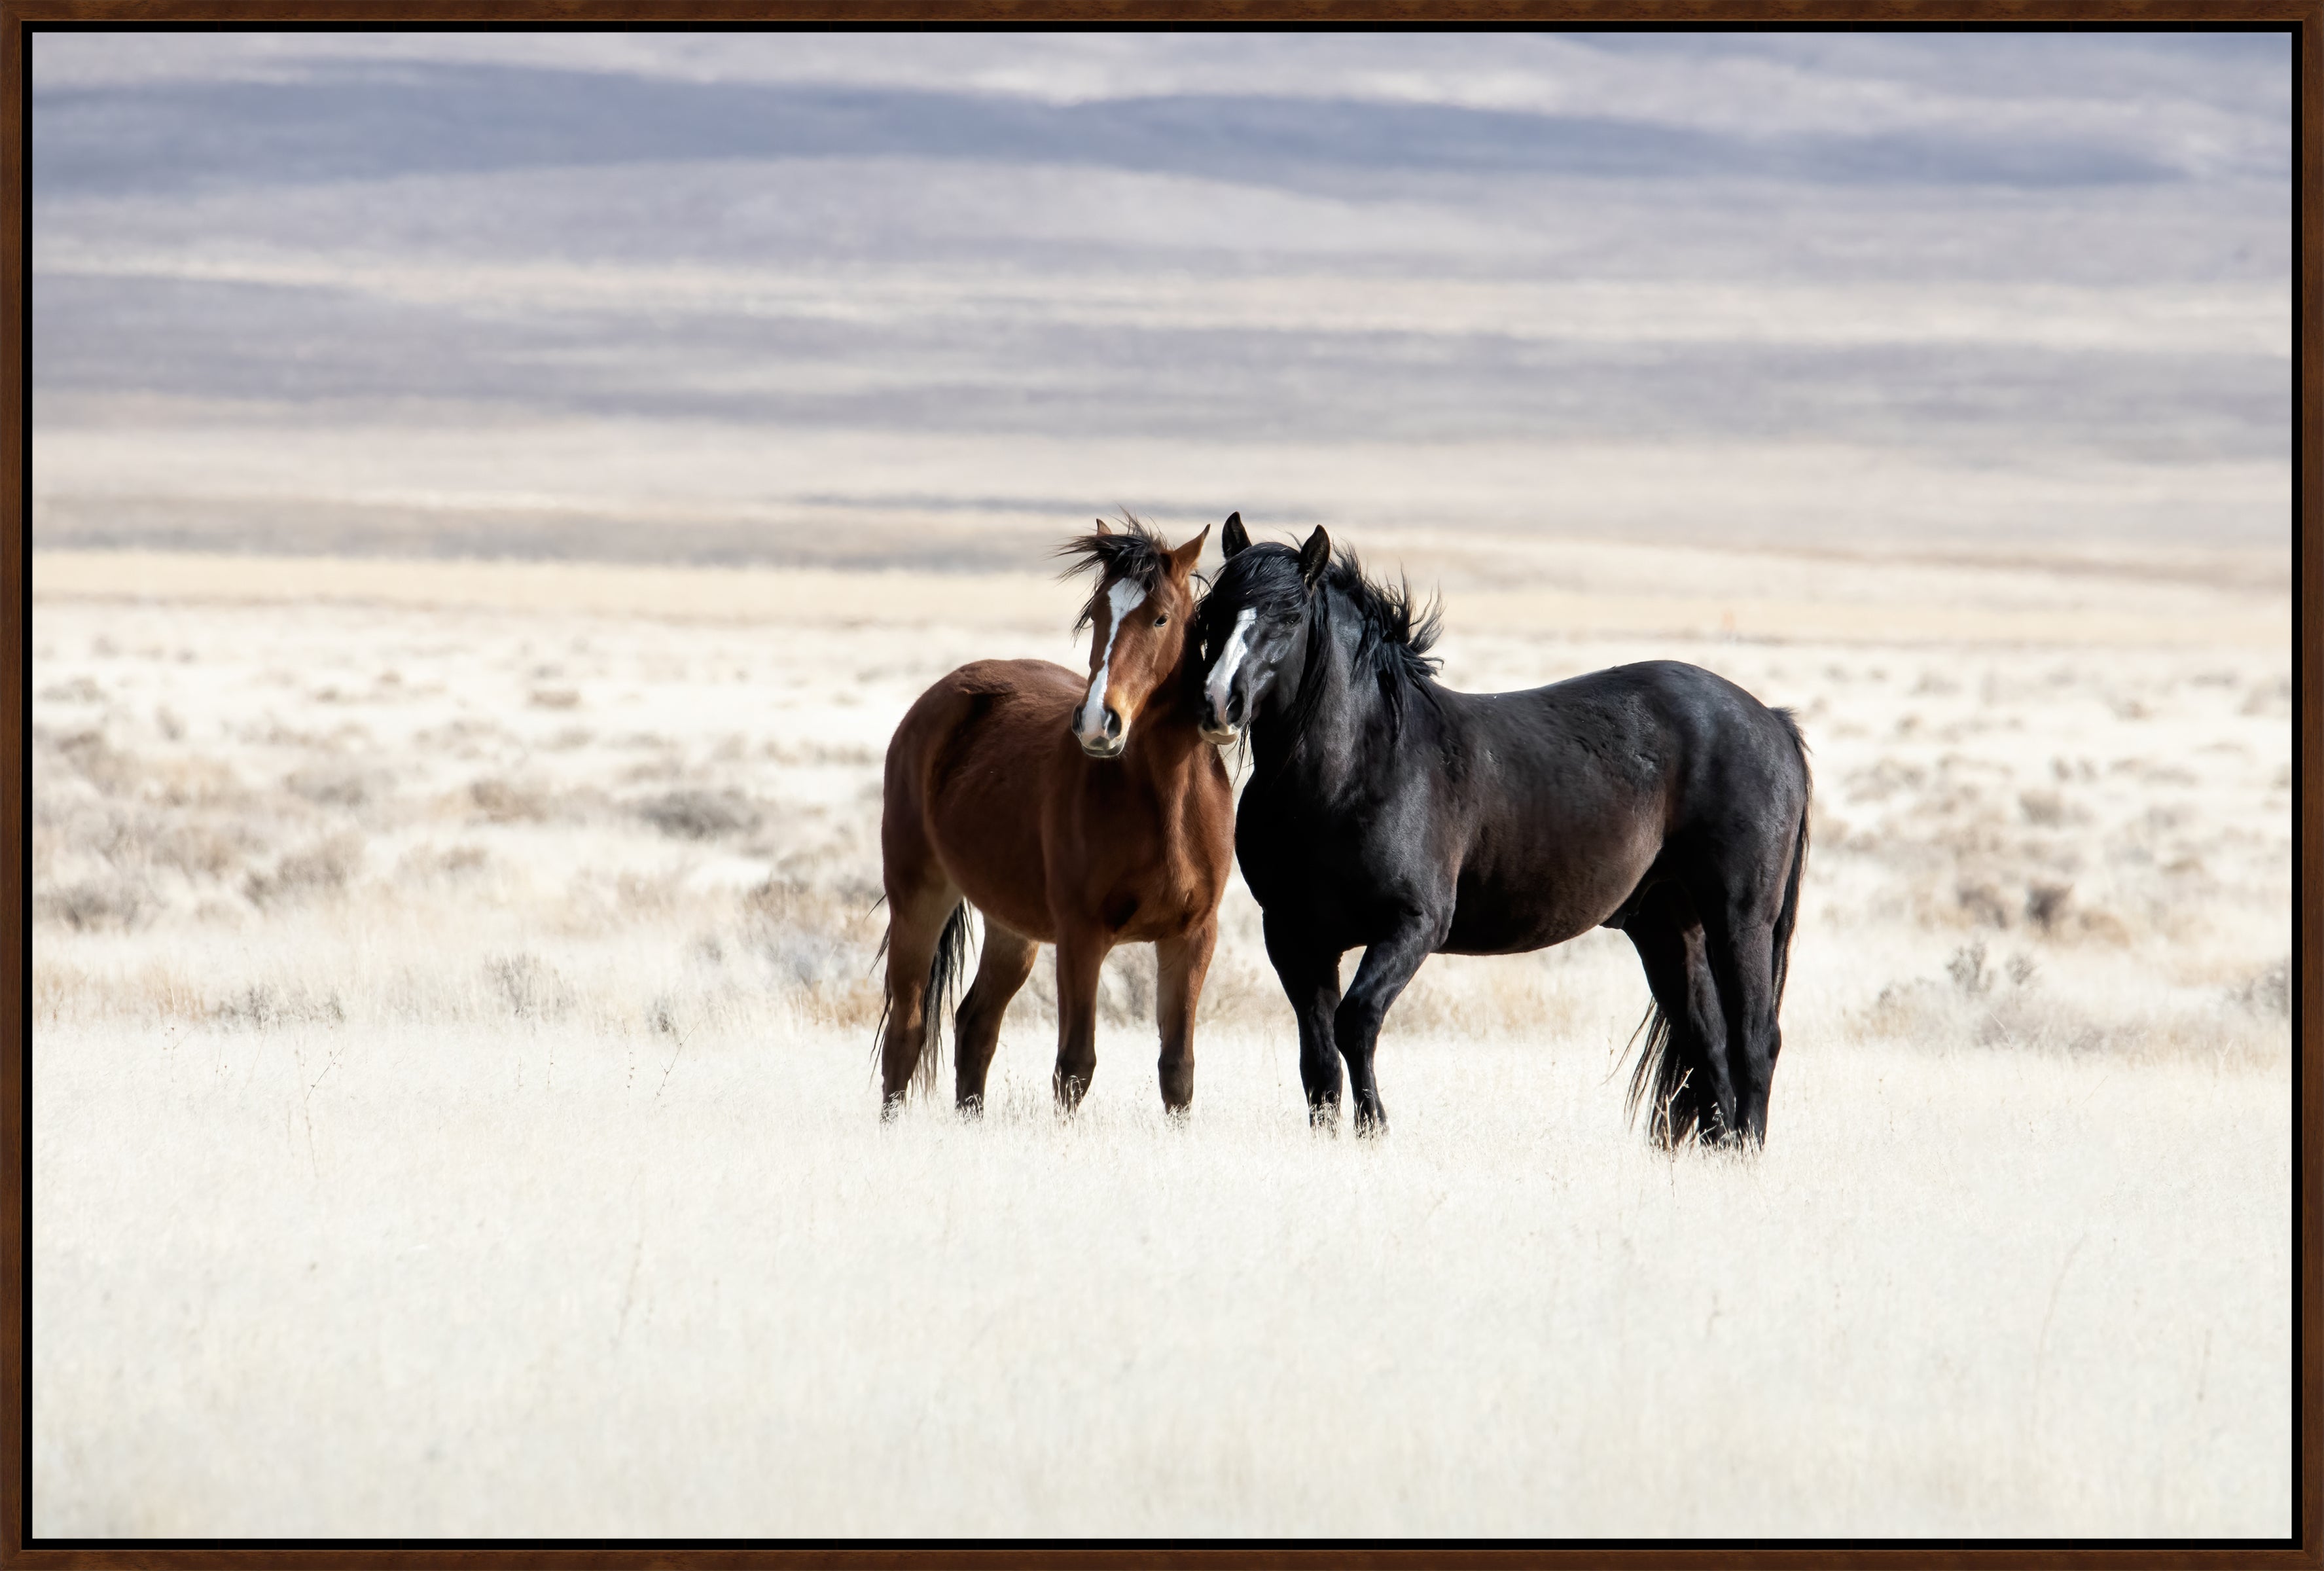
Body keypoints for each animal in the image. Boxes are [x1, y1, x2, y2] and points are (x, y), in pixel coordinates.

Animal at [874, 516, 1236, 1118]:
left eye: (1160, 617)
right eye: (1096, 615)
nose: (1097, 723)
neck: (1164, 807)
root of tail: (939, 698)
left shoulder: (1191, 939)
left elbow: (1177, 1071)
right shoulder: (1081, 937)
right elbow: (1074, 1067)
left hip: (1010, 929)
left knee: (975, 1025)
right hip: (919, 901)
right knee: (907, 1030)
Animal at [1192, 517, 1811, 1146]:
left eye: (1288, 617)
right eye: (1211, 611)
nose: (1219, 703)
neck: (1355, 770)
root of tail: (1770, 720)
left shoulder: (1411, 926)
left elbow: (1355, 1023)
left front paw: (1375, 1131)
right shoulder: (1294, 936)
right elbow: (1317, 1058)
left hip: (1740, 920)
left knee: (1754, 1039)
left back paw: (1744, 1152)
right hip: (1667, 925)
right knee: (1706, 1043)